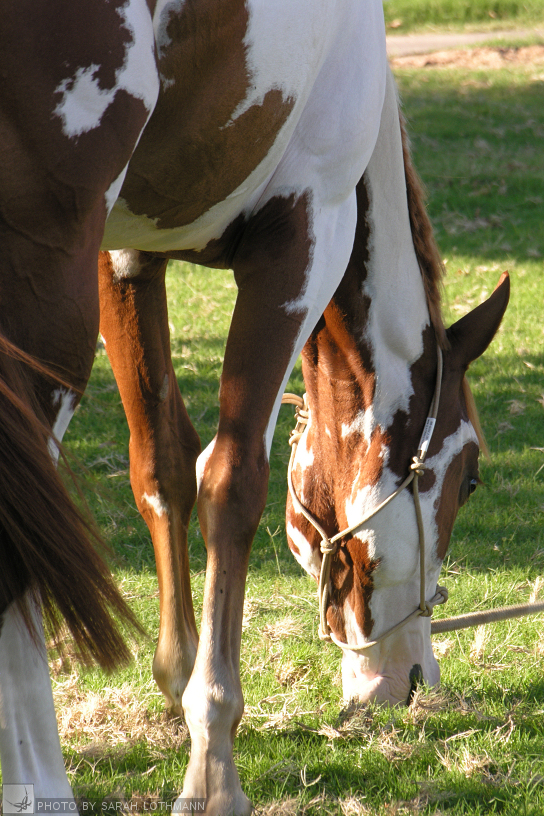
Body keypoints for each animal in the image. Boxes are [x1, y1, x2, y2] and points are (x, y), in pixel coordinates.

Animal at [1, 1, 510, 816]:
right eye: (468, 480)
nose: (410, 680)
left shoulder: (125, 252)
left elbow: (163, 468)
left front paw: (179, 682)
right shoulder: (303, 235)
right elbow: (230, 483)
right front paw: (213, 759)